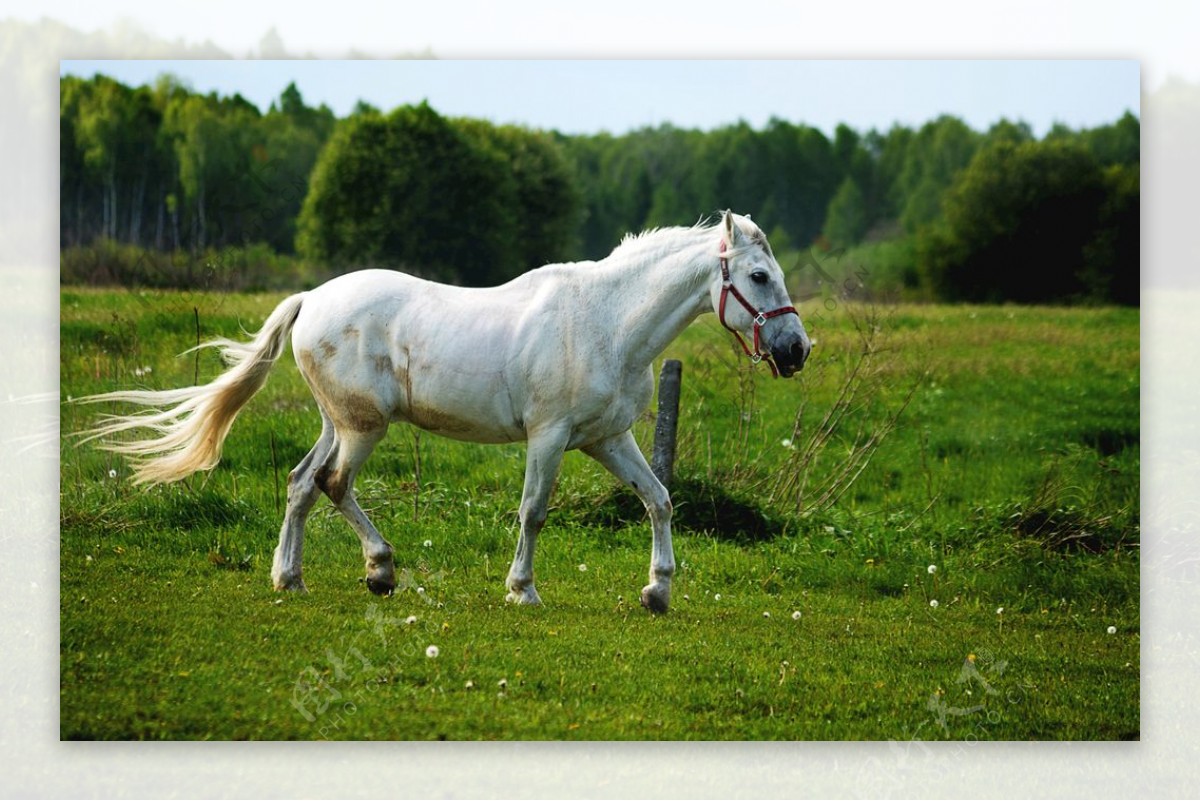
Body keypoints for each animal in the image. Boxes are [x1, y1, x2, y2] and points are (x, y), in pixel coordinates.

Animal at [79, 209, 811, 609]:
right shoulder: (548, 437)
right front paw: (522, 589)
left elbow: (658, 500)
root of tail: (311, 299)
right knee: (331, 483)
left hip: (339, 422)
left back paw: (290, 577)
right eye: (757, 276)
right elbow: (533, 511)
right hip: (363, 427)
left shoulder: (608, 438)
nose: (796, 350)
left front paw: (657, 591)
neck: (606, 322)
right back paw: (379, 570)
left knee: (300, 483)